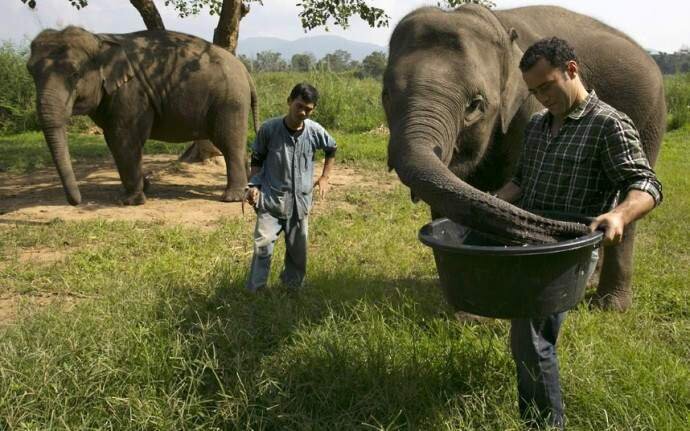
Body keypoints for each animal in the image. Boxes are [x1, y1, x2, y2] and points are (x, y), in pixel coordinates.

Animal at [26, 26, 258, 207]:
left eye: (75, 74)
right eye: (30, 72)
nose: (76, 201)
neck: (100, 39)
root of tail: (246, 72)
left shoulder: (130, 92)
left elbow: (123, 138)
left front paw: (128, 201)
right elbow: (115, 140)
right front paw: (144, 188)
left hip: (230, 101)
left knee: (229, 143)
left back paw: (232, 198)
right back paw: (247, 188)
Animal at [384, 5, 664, 312]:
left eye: (475, 106)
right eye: (386, 96)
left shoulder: (529, 109)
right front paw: (463, 312)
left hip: (648, 120)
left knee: (633, 190)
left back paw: (610, 305)